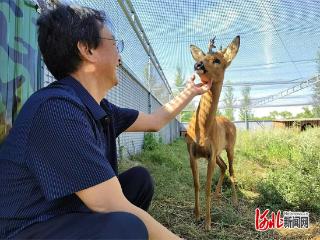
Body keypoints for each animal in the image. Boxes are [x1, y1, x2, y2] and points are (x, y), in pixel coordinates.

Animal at [185, 36, 240, 231]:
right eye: (203, 56)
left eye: (217, 60)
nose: (198, 64)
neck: (202, 131)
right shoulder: (192, 152)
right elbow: (196, 185)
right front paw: (196, 215)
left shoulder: (210, 154)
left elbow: (206, 187)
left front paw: (208, 223)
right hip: (218, 153)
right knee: (223, 167)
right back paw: (218, 195)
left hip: (230, 147)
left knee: (231, 170)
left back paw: (234, 201)